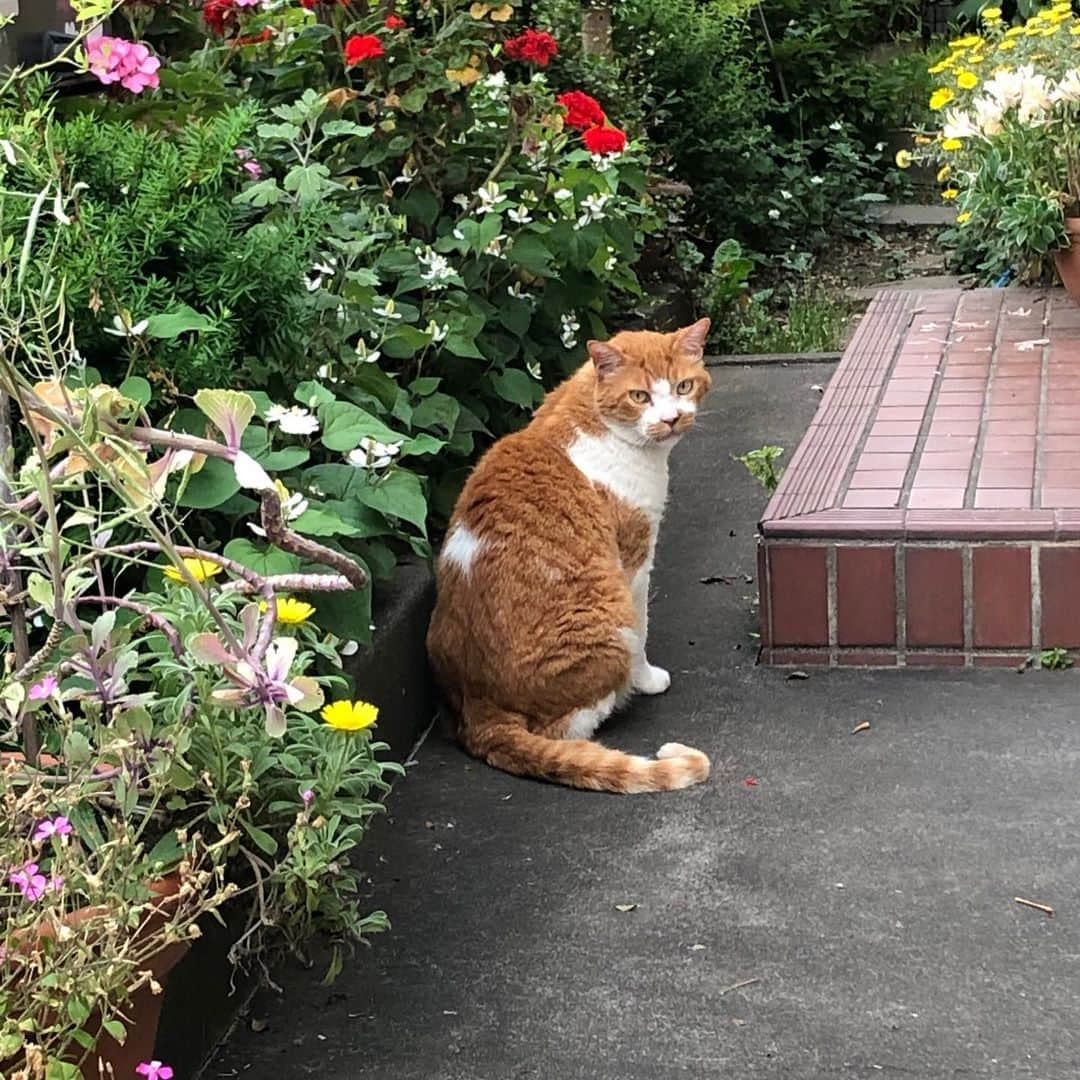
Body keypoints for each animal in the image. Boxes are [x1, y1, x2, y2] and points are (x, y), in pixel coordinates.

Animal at [425, 319, 712, 794]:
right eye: (640, 397)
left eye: (683, 386)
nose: (672, 418)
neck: (592, 416)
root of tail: (480, 706)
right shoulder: (635, 560)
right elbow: (643, 632)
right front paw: (648, 680)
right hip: (610, 620)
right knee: (565, 731)